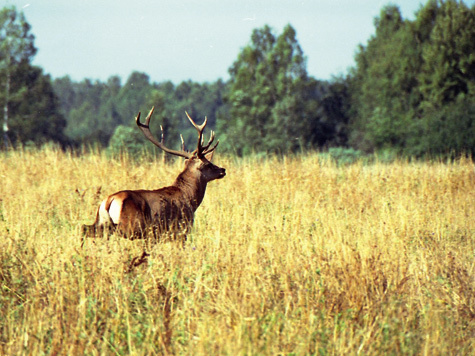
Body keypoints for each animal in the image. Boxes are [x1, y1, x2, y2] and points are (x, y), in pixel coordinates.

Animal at [82, 106, 227, 245]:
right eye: (208, 164)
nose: (222, 170)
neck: (190, 198)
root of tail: (109, 201)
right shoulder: (181, 229)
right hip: (131, 226)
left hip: (101, 222)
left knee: (85, 228)